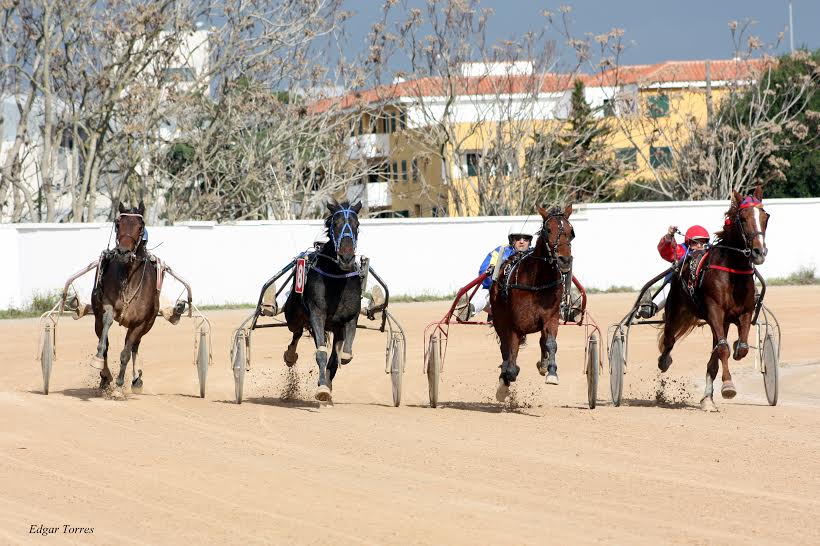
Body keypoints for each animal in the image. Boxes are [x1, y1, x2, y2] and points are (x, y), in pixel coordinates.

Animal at [284, 199, 364, 400]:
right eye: (334, 225)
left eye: (357, 225)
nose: (346, 257)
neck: (337, 278)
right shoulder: (317, 314)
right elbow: (321, 352)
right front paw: (322, 389)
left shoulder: (349, 318)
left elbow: (342, 356)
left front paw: (326, 383)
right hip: (294, 316)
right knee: (296, 332)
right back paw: (290, 356)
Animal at [490, 204, 572, 400]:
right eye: (548, 230)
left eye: (570, 231)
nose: (565, 260)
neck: (538, 282)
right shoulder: (514, 324)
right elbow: (511, 359)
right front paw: (506, 378)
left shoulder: (551, 316)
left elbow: (550, 342)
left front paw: (551, 371)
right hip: (498, 318)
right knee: (505, 347)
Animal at [660, 185, 768, 406]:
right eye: (742, 218)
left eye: (765, 216)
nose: (759, 252)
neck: (733, 272)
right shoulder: (715, 311)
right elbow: (723, 348)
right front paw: (728, 386)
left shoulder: (744, 312)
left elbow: (740, 347)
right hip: (676, 310)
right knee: (669, 339)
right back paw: (664, 360)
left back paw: (707, 397)